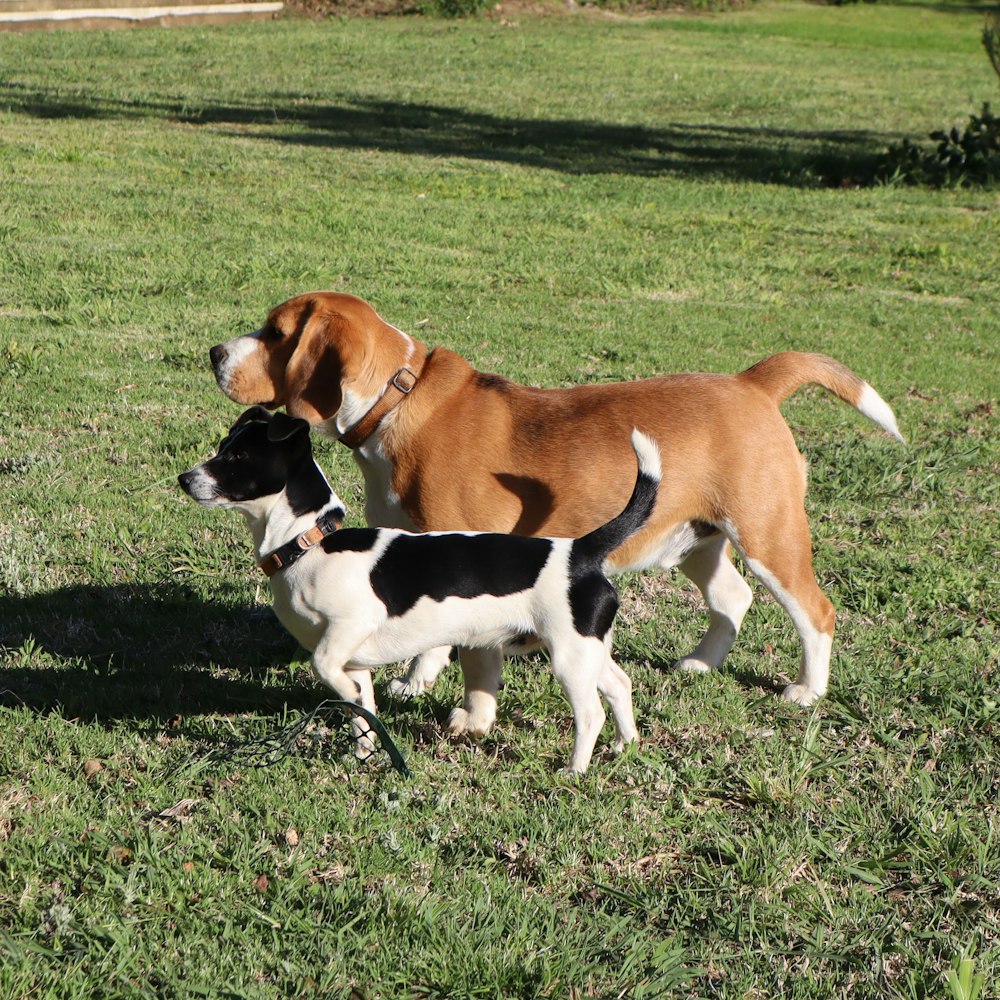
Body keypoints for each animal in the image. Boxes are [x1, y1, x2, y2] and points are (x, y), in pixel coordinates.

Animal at [180, 406, 664, 772]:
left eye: (237, 456)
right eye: (225, 448)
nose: (185, 478)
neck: (309, 543)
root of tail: (580, 551)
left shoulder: (350, 628)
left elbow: (324, 667)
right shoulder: (353, 660)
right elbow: (361, 708)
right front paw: (365, 751)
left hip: (568, 657)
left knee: (591, 713)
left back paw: (575, 769)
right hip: (587, 649)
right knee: (619, 685)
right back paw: (625, 744)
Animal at [211, 292, 908, 740]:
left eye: (276, 334)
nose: (215, 351)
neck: (398, 400)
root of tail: (751, 382)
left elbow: (457, 649)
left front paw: (444, 696)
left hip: (769, 536)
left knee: (815, 612)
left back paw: (807, 691)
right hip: (698, 540)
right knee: (733, 599)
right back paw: (702, 664)